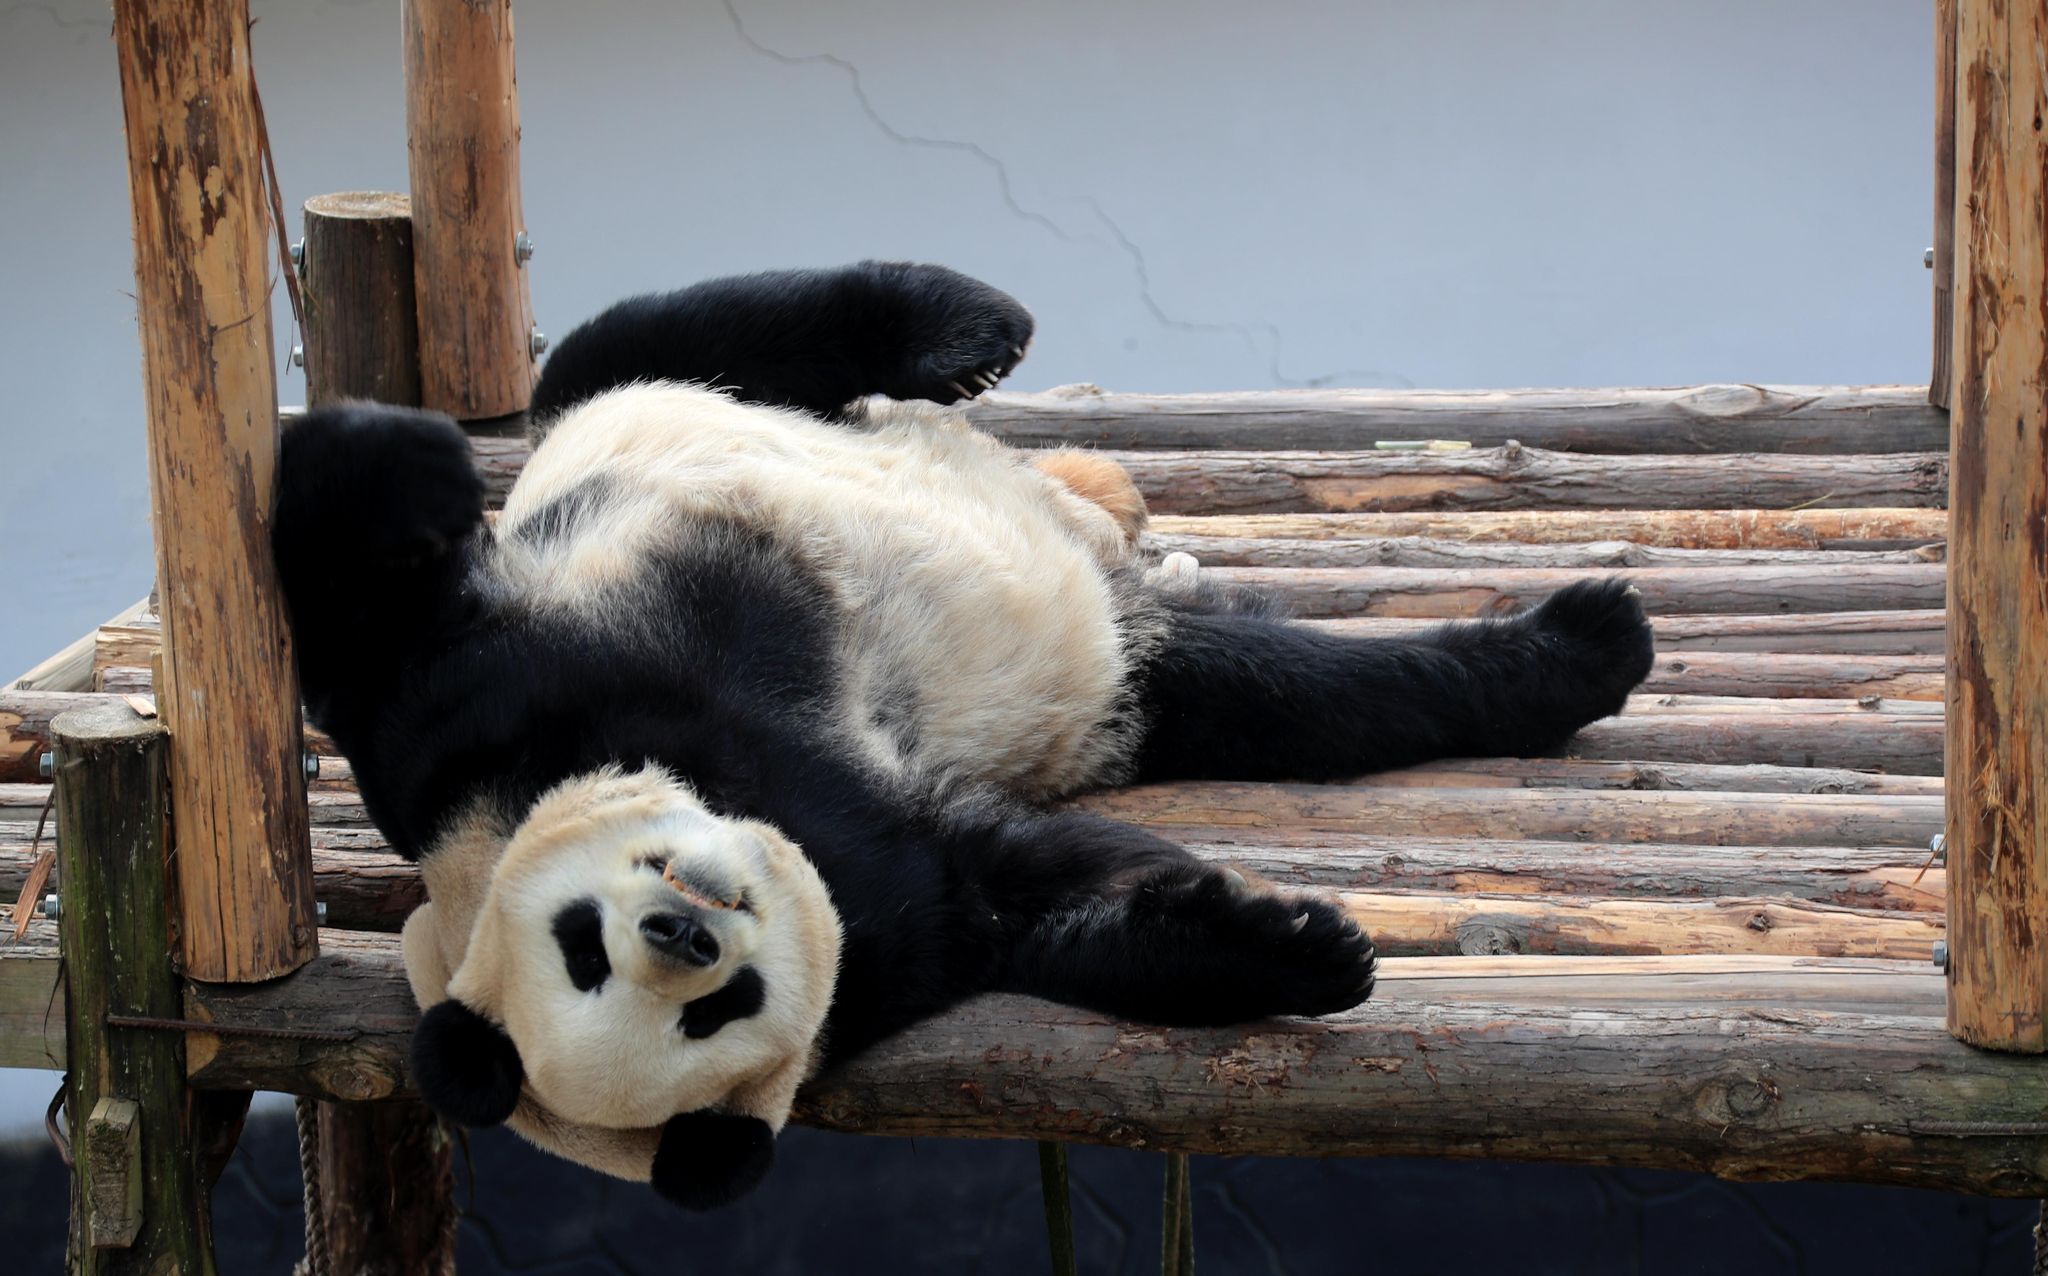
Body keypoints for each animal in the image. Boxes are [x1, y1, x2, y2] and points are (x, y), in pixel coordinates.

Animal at [272, 257, 1654, 1204]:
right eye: (703, 1019)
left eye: (580, 941)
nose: (687, 927)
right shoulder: (879, 924)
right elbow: (1016, 893)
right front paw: (1278, 944)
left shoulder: (477, 701)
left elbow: (353, 610)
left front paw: (388, 460)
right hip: (1128, 688)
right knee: (1292, 692)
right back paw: (1571, 652)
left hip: (665, 424)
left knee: (669, 340)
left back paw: (957, 328)